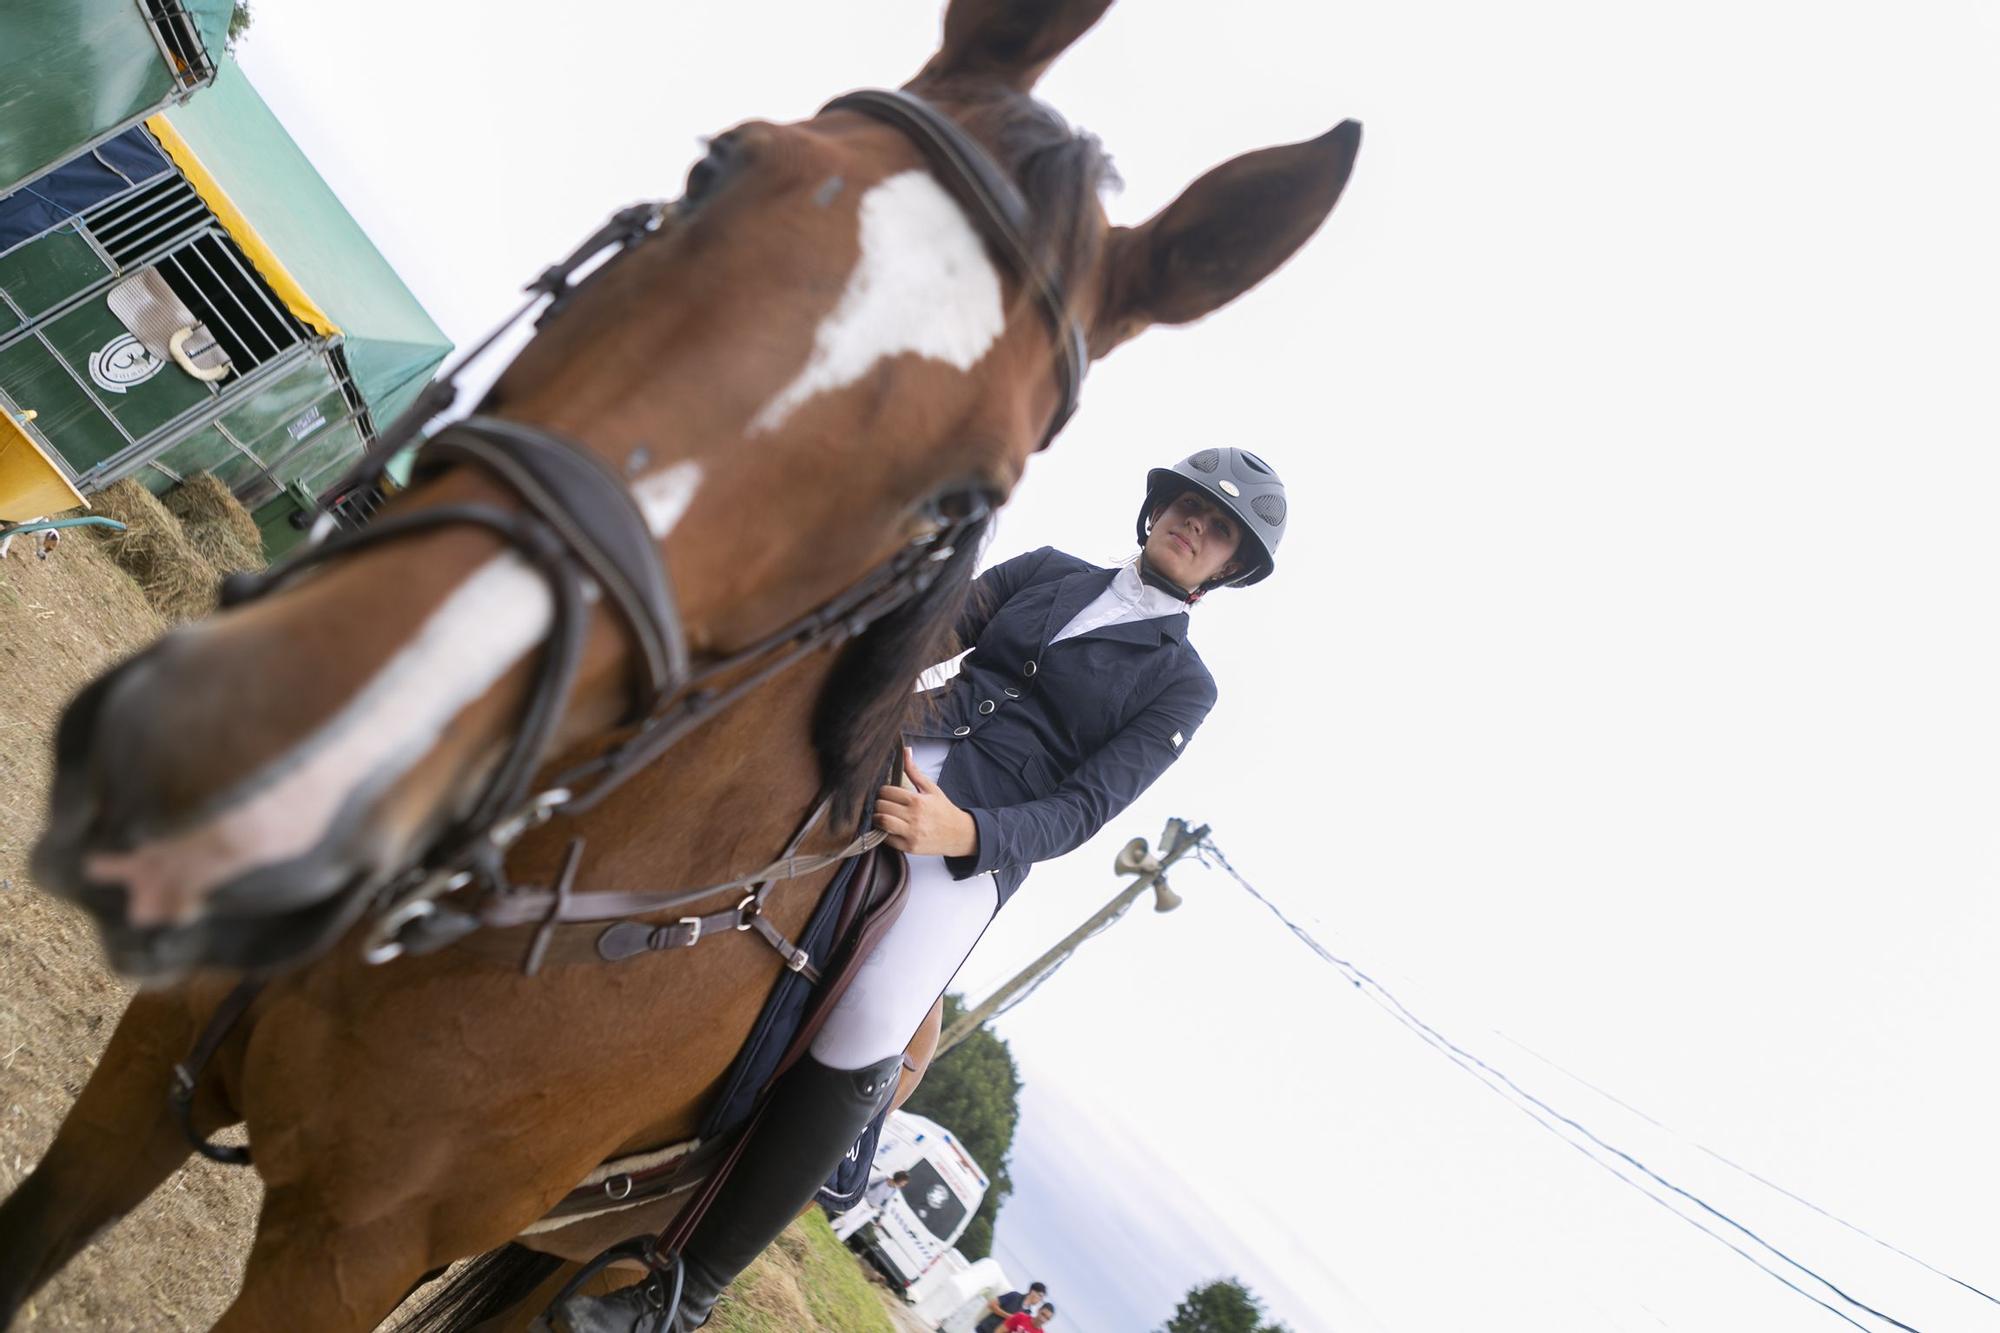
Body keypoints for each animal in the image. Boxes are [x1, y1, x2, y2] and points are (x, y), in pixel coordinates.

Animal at [0, 5, 1360, 1320]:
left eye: (967, 494)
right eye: (715, 169)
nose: (241, 778)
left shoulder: (348, 1253)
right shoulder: (144, 1069)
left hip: (594, 1249)